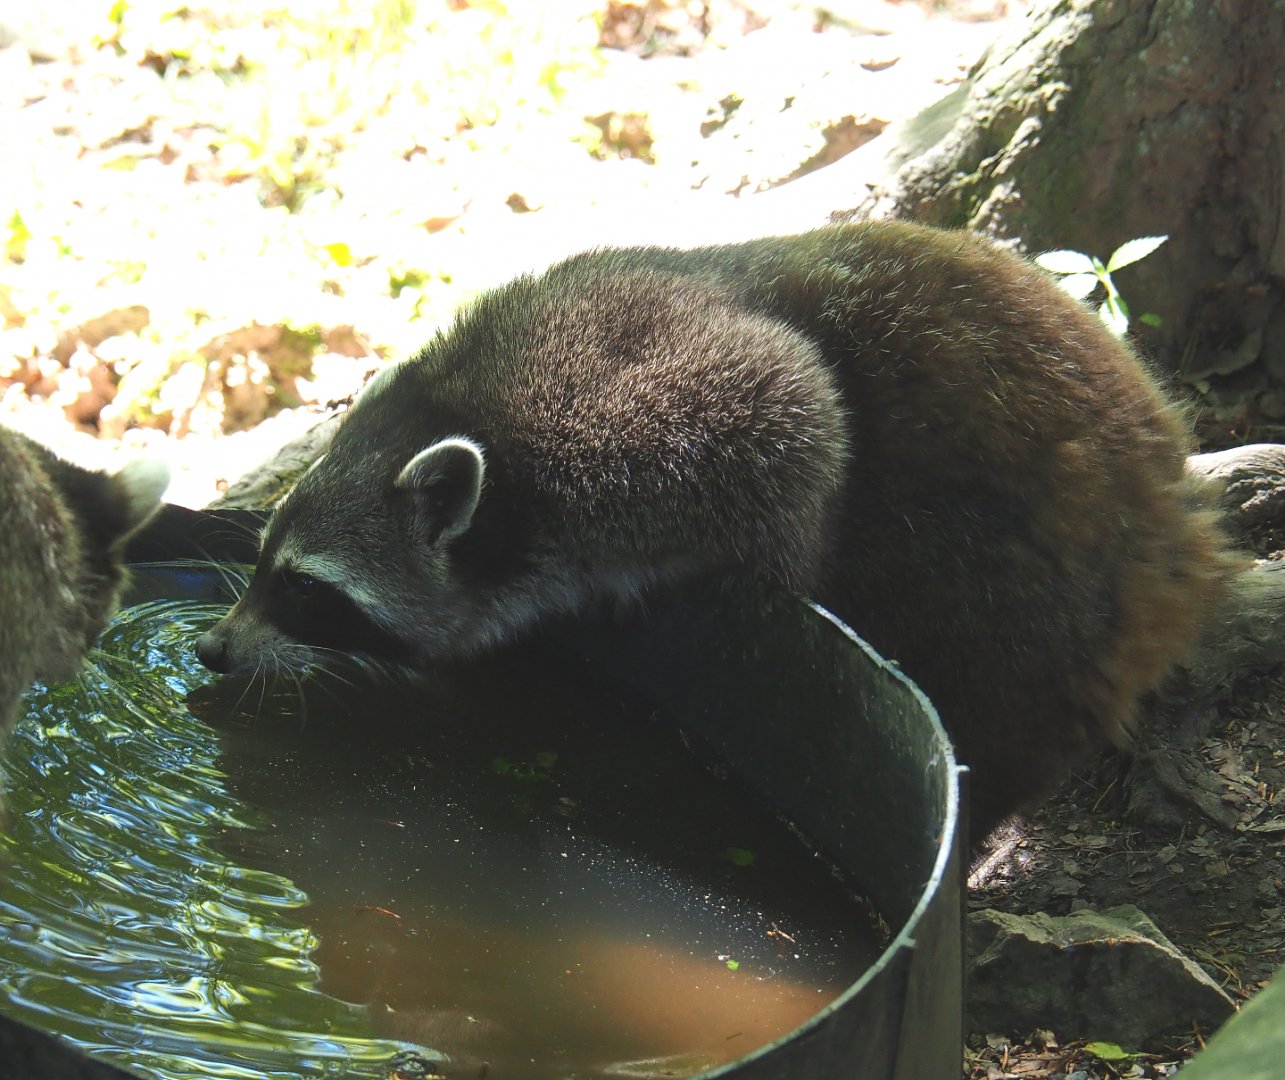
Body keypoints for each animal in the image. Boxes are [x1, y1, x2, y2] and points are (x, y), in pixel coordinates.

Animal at [196, 222, 1246, 842]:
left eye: (302, 586)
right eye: (264, 559)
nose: (211, 649)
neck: (473, 408)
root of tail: (1177, 521)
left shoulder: (644, 419)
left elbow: (799, 409)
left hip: (1036, 591)